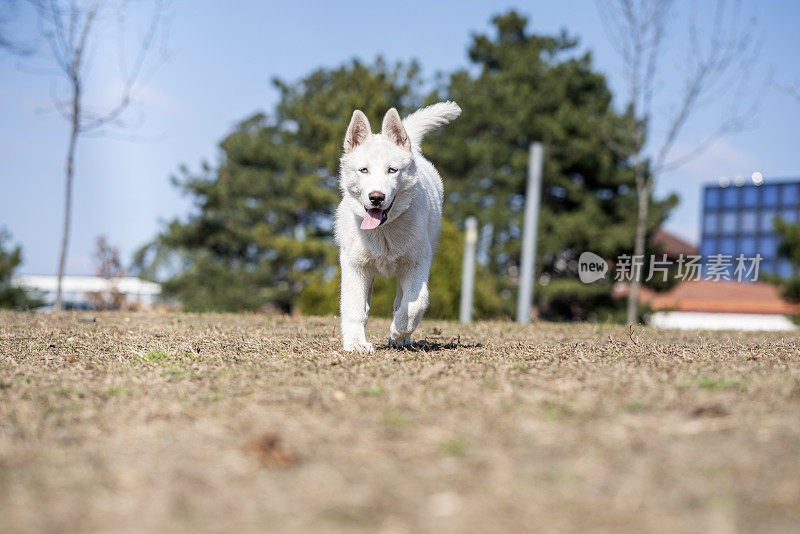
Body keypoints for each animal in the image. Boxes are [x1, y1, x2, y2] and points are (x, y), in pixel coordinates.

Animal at [332, 102, 460, 354]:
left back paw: (401, 338)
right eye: (364, 170)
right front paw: (356, 344)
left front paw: (398, 331)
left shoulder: (416, 263)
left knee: (401, 300)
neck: (384, 230)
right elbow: (353, 307)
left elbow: (416, 302)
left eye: (392, 170)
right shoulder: (355, 266)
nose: (376, 197)